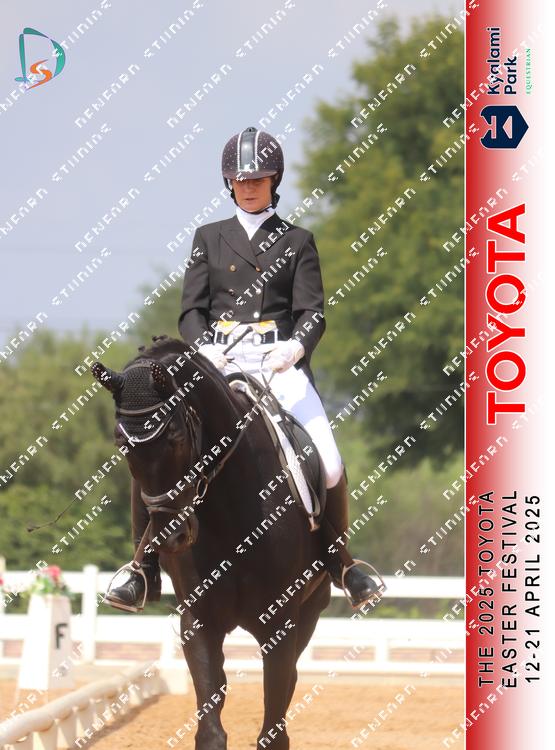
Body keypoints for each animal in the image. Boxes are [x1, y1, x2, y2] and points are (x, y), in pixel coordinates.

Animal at [92, 336, 332, 750]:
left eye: (175, 437)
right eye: (122, 443)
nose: (171, 535)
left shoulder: (281, 622)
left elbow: (273, 728)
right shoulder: (198, 620)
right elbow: (210, 727)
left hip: (311, 610)